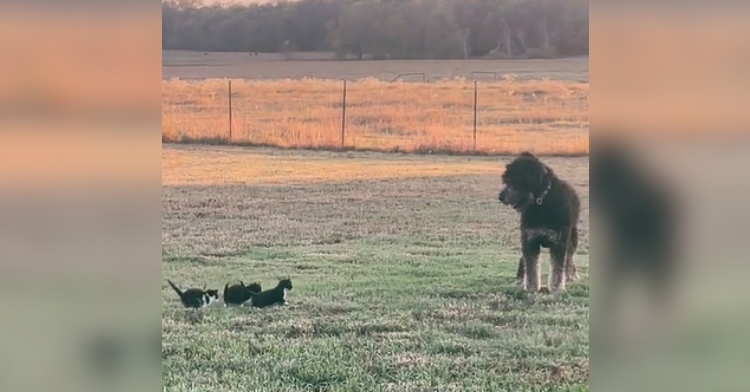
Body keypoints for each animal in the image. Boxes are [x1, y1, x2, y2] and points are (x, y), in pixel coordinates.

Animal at [502, 152, 584, 292]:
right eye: (506, 180)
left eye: (514, 180)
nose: (500, 197)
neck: (541, 202)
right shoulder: (530, 240)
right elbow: (531, 267)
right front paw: (531, 288)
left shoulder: (559, 241)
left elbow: (558, 268)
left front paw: (556, 288)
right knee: (523, 260)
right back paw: (520, 278)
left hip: (572, 238)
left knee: (569, 257)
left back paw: (570, 274)